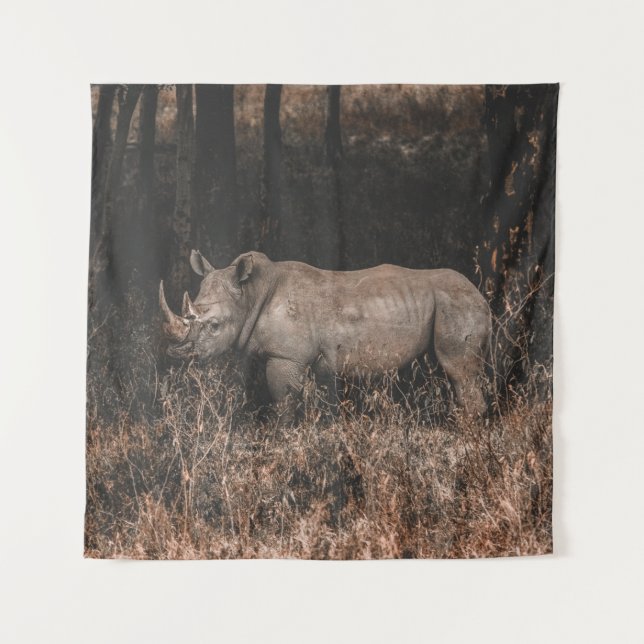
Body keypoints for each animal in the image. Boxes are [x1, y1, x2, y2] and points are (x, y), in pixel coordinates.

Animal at [160, 250, 491, 416]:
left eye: (214, 326)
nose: (176, 353)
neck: (250, 294)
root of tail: (479, 294)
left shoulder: (287, 357)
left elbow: (283, 401)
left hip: (456, 303)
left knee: (458, 370)